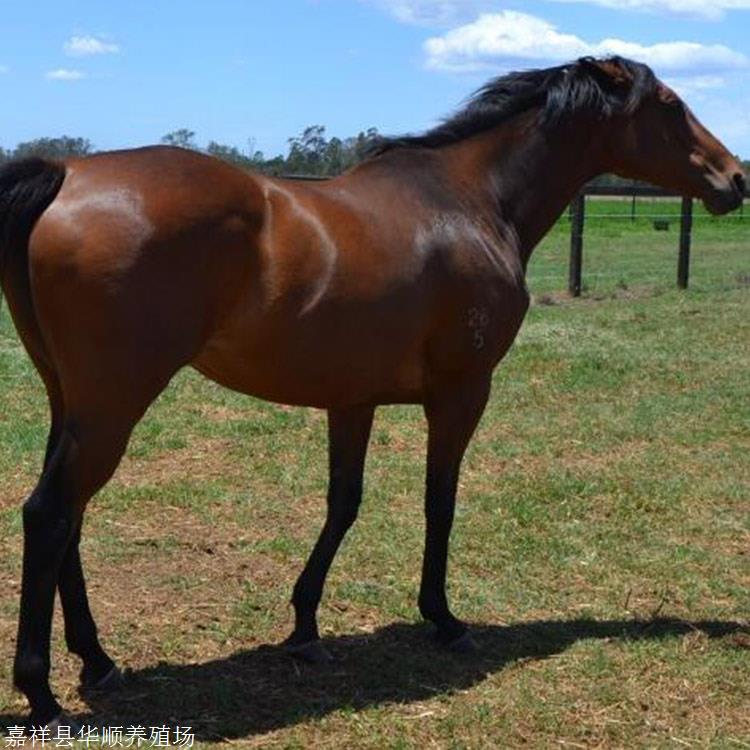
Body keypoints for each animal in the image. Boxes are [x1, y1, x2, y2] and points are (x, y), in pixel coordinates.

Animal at [0, 57, 748, 728]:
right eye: (672, 103)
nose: (734, 178)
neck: (469, 201)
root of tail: (66, 174)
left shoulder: (352, 400)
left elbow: (344, 503)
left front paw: (305, 628)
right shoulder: (461, 394)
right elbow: (439, 503)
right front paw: (443, 618)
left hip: (74, 404)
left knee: (70, 518)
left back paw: (98, 661)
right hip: (113, 407)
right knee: (50, 513)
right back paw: (41, 691)